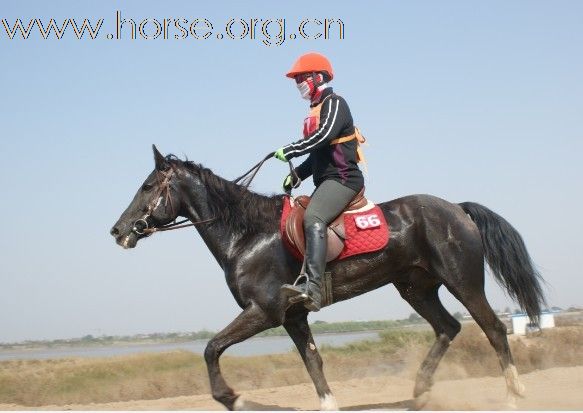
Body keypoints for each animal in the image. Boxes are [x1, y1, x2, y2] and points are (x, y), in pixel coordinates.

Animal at [110, 145, 548, 408]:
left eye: (147, 186)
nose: (118, 231)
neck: (247, 235)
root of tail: (456, 209)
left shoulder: (264, 311)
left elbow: (212, 348)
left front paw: (231, 397)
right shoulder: (293, 316)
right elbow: (313, 363)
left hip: (462, 281)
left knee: (493, 330)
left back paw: (513, 395)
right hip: (416, 288)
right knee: (447, 328)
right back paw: (420, 391)